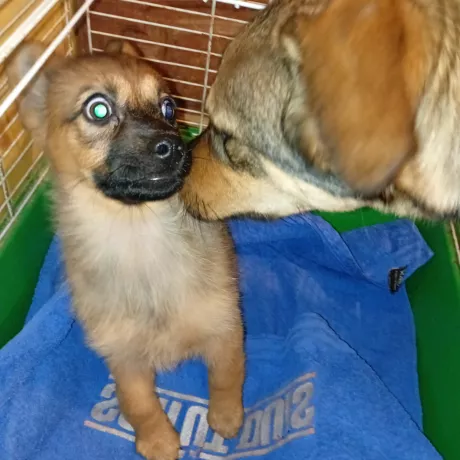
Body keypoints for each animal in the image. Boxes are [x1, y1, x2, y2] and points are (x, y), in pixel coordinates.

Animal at [7, 40, 244, 460]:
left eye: (168, 107)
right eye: (98, 109)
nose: (175, 147)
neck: (138, 233)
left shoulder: (226, 325)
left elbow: (227, 375)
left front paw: (226, 416)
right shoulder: (124, 357)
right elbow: (139, 404)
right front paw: (159, 440)